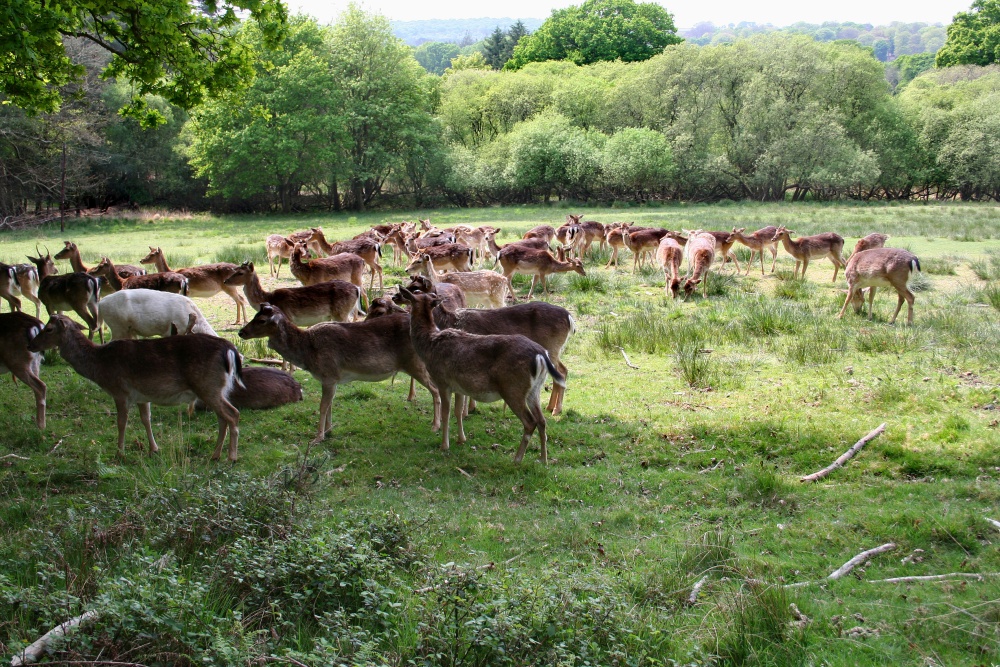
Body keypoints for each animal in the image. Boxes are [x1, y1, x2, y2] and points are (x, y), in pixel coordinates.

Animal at [29, 314, 242, 460]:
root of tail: (230, 350)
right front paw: (154, 449)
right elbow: (146, 419)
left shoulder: (120, 391)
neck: (99, 365)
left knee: (232, 413)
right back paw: (215, 455)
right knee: (223, 418)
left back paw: (231, 456)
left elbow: (121, 422)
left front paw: (119, 452)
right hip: (217, 388)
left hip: (208, 386)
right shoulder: (142, 396)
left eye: (48, 329)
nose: (31, 344)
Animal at [223, 261, 364, 325]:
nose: (225, 280)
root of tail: (356, 289)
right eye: (235, 269)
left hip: (341, 313)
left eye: (240, 272)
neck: (269, 297)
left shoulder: (288, 318)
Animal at [238, 303, 441, 442]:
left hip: (416, 363)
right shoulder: (331, 379)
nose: (241, 332)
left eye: (262, 320)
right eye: (255, 314)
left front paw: (318, 437)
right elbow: (329, 405)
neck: (307, 352)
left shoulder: (328, 374)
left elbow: (322, 406)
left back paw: (435, 426)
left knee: (436, 390)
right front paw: (329, 431)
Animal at [398, 288, 565, 463]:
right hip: (535, 390)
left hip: (513, 389)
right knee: (541, 420)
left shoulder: (442, 381)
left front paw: (444, 445)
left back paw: (517, 459)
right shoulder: (459, 387)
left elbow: (446, 413)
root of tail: (541, 355)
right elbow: (458, 411)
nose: (397, 300)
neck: (429, 345)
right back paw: (543, 460)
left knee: (530, 422)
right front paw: (461, 439)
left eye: (411, 299)